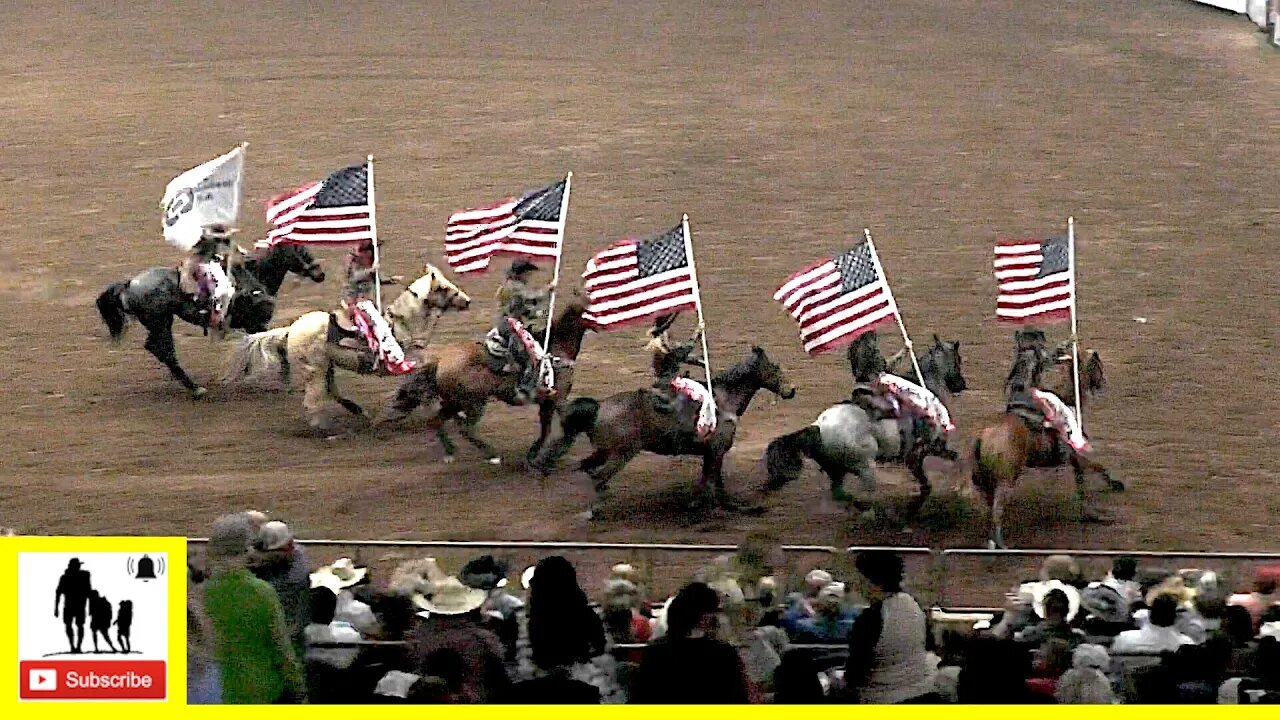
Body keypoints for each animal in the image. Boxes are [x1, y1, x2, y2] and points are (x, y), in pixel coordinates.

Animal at [95, 240, 325, 397]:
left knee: (156, 348)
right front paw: (285, 382)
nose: (320, 274)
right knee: (164, 350)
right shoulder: (257, 324)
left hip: (160, 323)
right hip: (161, 322)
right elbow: (279, 347)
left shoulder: (254, 326)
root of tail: (130, 284)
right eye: (301, 249)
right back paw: (195, 389)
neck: (256, 276)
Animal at [222, 263, 473, 430]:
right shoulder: (413, 362)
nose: (467, 301)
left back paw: (359, 412)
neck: (404, 325)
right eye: (444, 288)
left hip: (327, 367)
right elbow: (423, 384)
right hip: (315, 370)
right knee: (313, 399)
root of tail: (290, 329)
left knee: (331, 391)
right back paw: (323, 427)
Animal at [373, 298, 593, 461]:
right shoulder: (557, 399)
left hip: (454, 401)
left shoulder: (547, 402)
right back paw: (492, 455)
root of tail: (440, 361)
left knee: (437, 421)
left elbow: (547, 429)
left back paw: (451, 452)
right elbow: (559, 426)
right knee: (466, 429)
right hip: (474, 402)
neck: (557, 351)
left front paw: (535, 454)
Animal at [527, 345, 788, 517]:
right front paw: (716, 508)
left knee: (588, 468)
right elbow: (713, 482)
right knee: (600, 476)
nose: (791, 390)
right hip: (621, 454)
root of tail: (600, 407)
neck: (722, 401)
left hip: (604, 451)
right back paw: (597, 509)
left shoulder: (711, 453)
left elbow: (712, 481)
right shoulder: (716, 450)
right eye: (775, 368)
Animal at [967, 340, 1121, 543]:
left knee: (989, 510)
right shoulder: (1077, 456)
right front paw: (1101, 503)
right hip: (1005, 480)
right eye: (1097, 365)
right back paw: (1001, 543)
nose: (1103, 382)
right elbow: (1091, 473)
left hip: (985, 480)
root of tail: (983, 436)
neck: (1068, 400)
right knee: (997, 511)